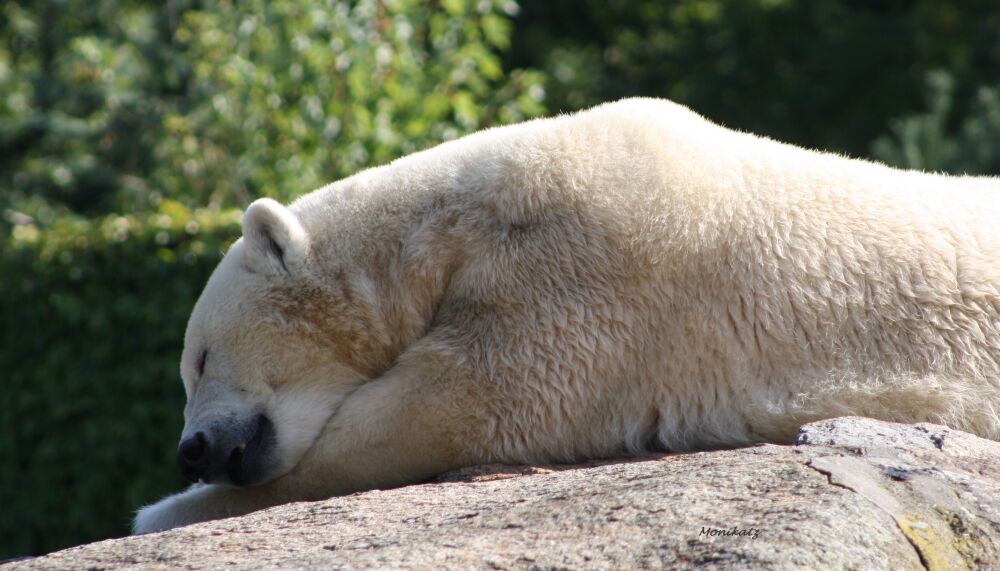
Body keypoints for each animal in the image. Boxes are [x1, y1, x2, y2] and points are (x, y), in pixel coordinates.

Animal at [135, 97, 1000, 532]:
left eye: (199, 358)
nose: (191, 448)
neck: (458, 224)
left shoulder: (585, 269)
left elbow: (442, 409)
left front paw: (155, 513)